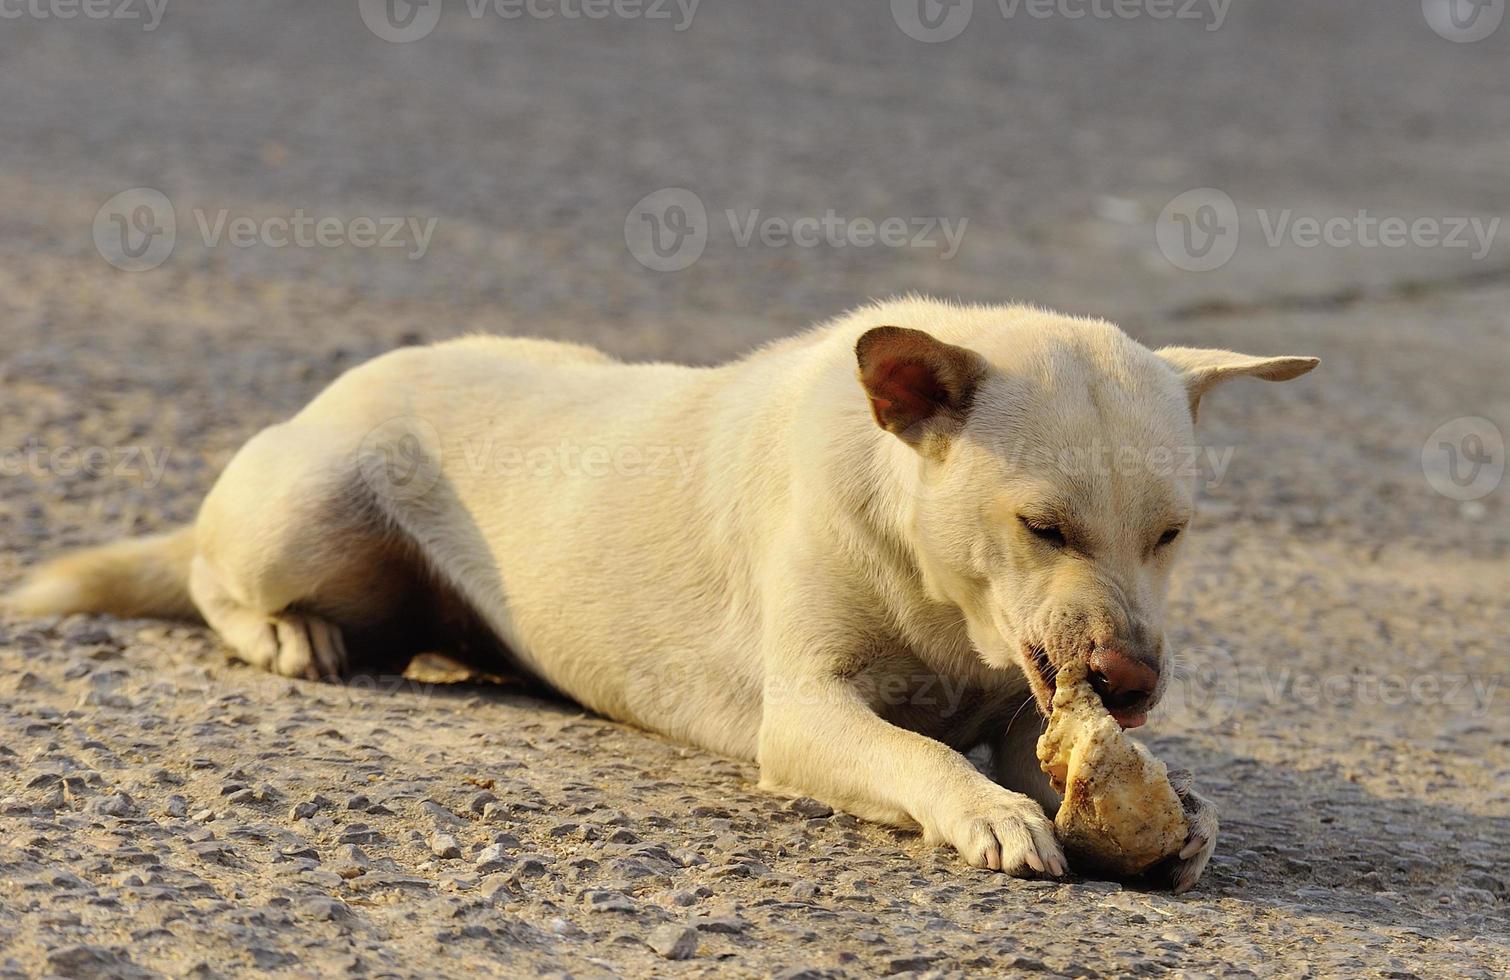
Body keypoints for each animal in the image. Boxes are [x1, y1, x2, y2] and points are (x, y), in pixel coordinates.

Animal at [5, 297, 1316, 893]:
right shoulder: (807, 715)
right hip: (303, 516)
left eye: (1172, 534)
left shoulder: (1020, 706)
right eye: (1041, 526)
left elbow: (1041, 751)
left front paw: (1177, 809)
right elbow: (920, 755)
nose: (1131, 687)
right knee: (211, 575)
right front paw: (983, 811)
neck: (941, 602)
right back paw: (288, 631)